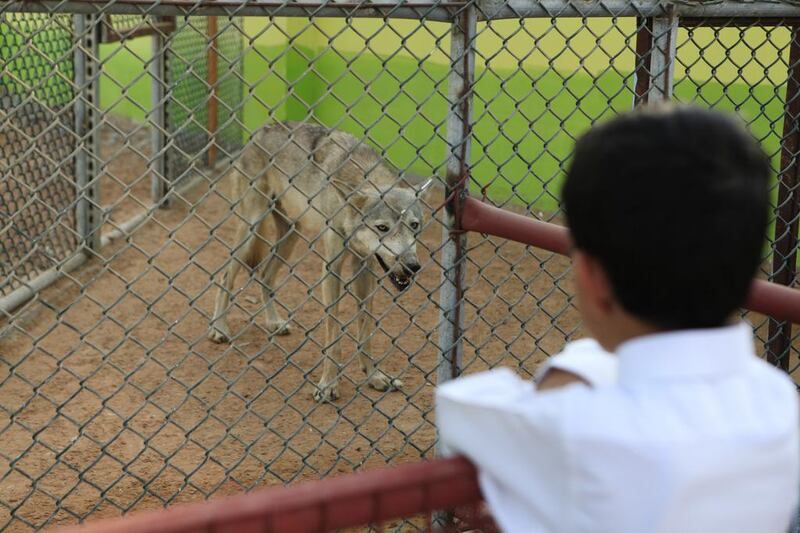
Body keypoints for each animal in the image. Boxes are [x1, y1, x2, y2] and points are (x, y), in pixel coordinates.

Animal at [209, 122, 428, 402]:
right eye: (382, 228)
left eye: (414, 226)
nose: (412, 266)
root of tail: (260, 130)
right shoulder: (331, 267)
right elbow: (332, 332)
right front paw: (328, 385)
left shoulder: (364, 266)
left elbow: (365, 328)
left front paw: (374, 376)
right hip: (250, 229)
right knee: (226, 275)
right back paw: (219, 328)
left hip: (291, 234)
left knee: (265, 276)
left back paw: (274, 323)